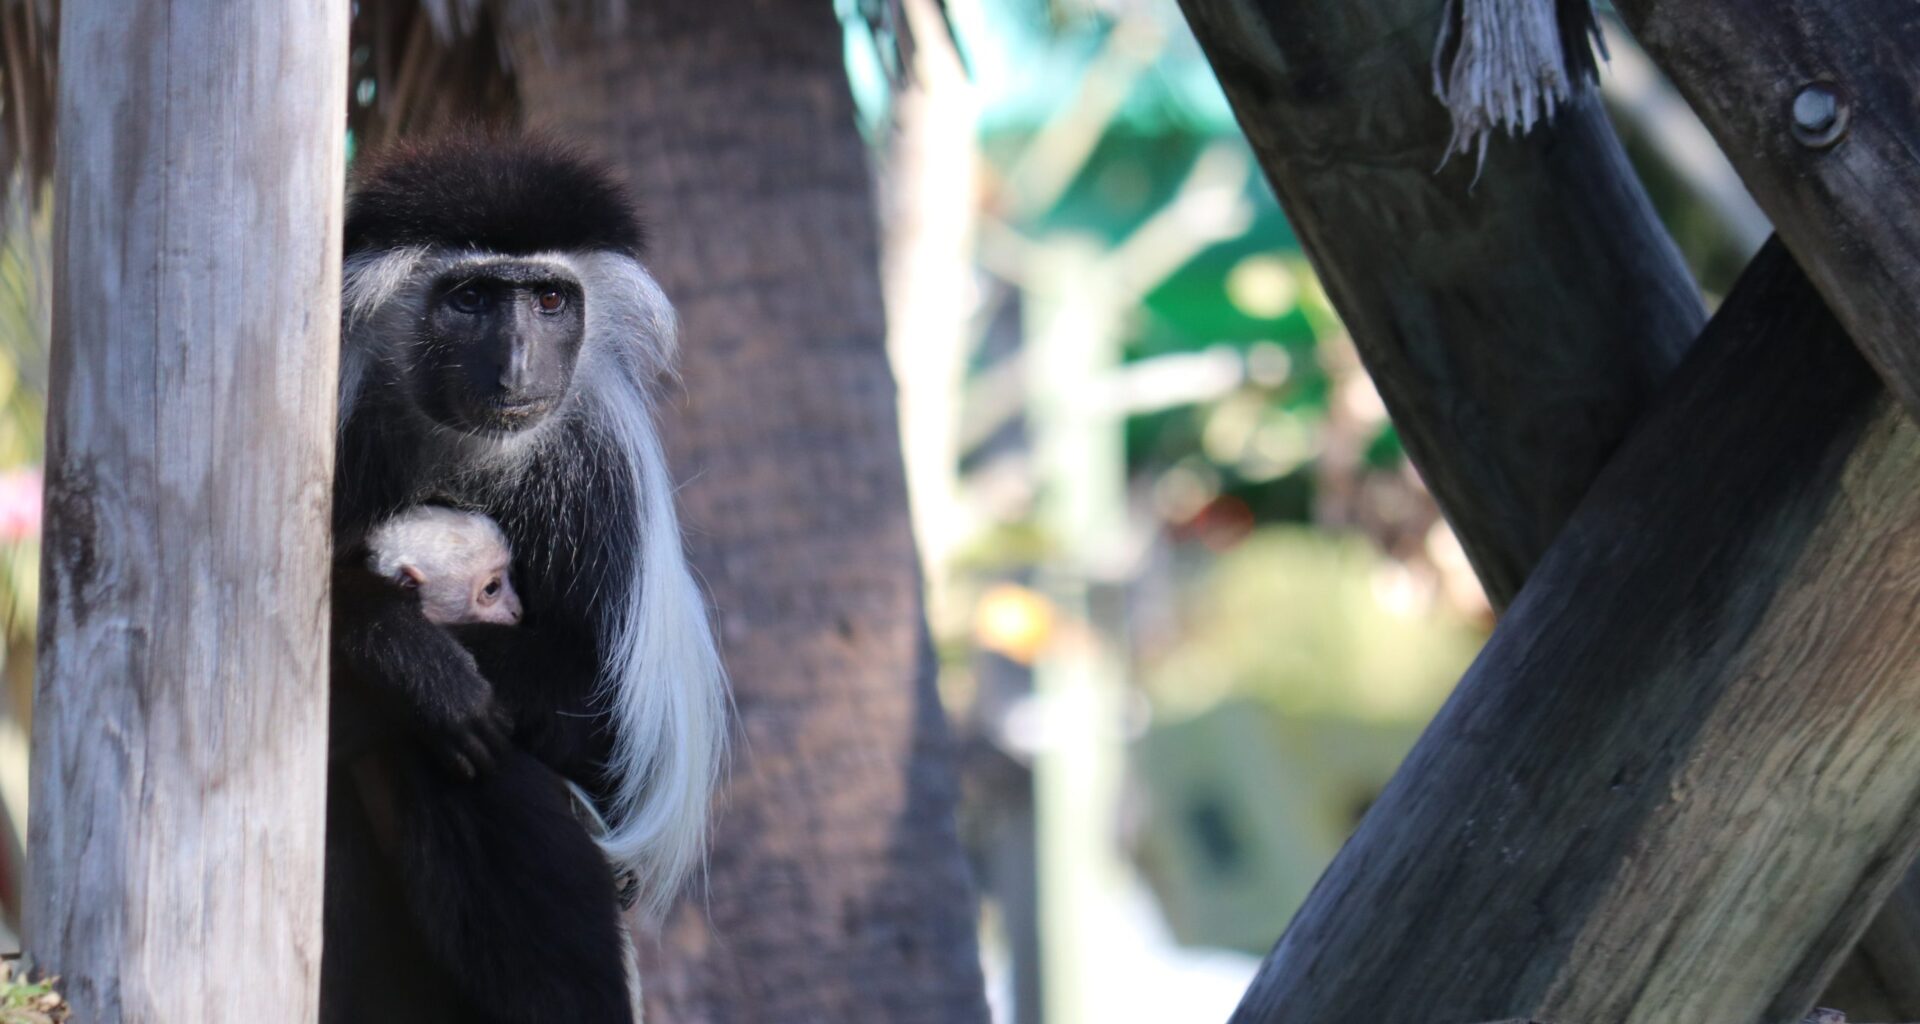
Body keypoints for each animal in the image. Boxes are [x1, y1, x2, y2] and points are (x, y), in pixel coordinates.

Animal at [321, 135, 726, 1024]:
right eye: (470, 298)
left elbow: (609, 732)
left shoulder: (600, 472)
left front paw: (426, 663)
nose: (515, 364)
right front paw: (400, 645)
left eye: (547, 300)